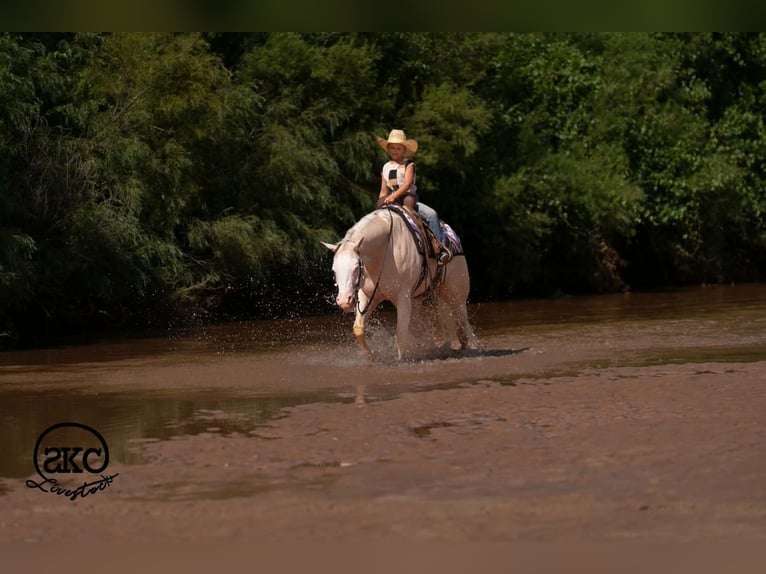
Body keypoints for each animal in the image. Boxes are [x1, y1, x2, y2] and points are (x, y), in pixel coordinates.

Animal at [322, 207, 481, 360]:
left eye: (356, 267)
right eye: (334, 269)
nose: (344, 301)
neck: (384, 250)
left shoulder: (402, 297)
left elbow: (400, 334)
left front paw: (400, 359)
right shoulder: (367, 295)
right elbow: (358, 328)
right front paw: (372, 356)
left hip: (456, 297)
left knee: (463, 324)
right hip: (417, 300)